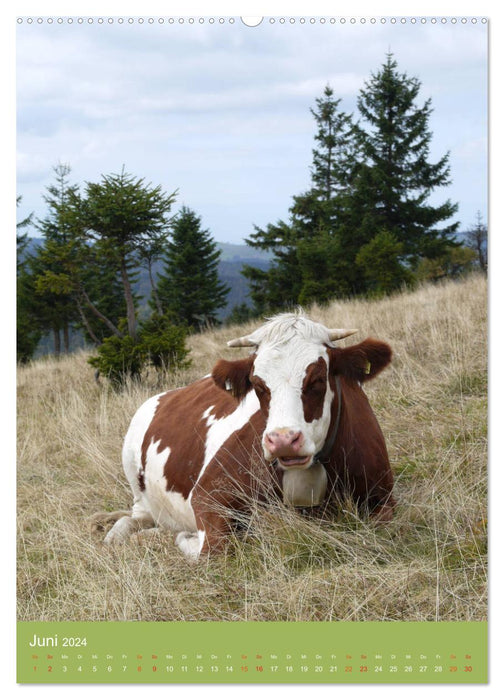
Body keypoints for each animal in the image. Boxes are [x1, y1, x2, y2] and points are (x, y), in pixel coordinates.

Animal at [102, 312, 394, 556]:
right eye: (258, 385)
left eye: (318, 379)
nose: (283, 440)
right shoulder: (208, 494)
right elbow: (214, 547)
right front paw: (186, 538)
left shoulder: (384, 496)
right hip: (135, 481)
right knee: (133, 519)